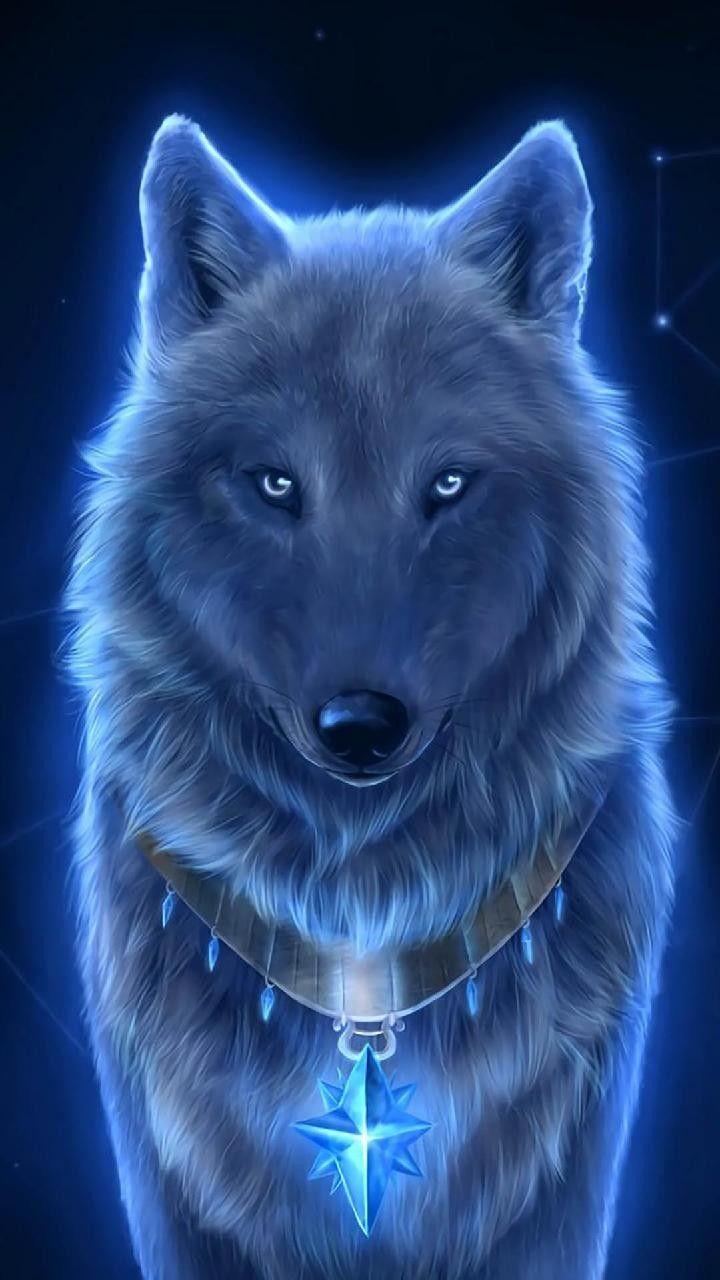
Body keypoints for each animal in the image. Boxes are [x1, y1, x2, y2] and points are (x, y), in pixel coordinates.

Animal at [67, 113, 676, 1280]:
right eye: (274, 484)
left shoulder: (562, 1190)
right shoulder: (173, 1189)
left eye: (446, 483)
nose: (359, 727)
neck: (362, 948)